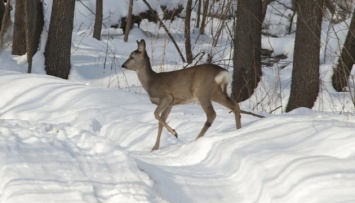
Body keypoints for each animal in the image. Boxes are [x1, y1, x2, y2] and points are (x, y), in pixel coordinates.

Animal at [123, 39, 262, 151]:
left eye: (131, 56)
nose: (123, 65)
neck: (152, 82)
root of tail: (223, 73)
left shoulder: (166, 96)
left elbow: (156, 115)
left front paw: (174, 132)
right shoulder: (170, 104)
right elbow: (160, 122)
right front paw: (155, 147)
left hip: (203, 92)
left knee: (212, 113)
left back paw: (197, 139)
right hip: (217, 91)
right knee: (235, 105)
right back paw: (238, 130)